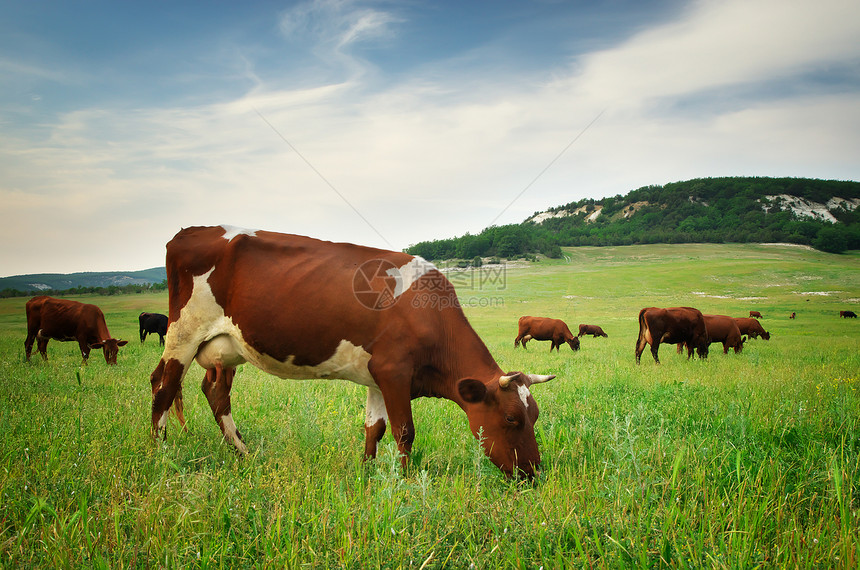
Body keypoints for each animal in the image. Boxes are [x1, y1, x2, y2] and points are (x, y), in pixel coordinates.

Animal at [150, 224, 556, 478]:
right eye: (511, 419)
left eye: (534, 415)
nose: (533, 472)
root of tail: (189, 232)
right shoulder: (395, 371)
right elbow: (405, 431)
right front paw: (406, 481)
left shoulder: (378, 377)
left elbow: (374, 428)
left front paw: (366, 472)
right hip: (183, 332)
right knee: (163, 387)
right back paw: (160, 453)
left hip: (225, 348)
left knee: (215, 392)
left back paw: (243, 452)